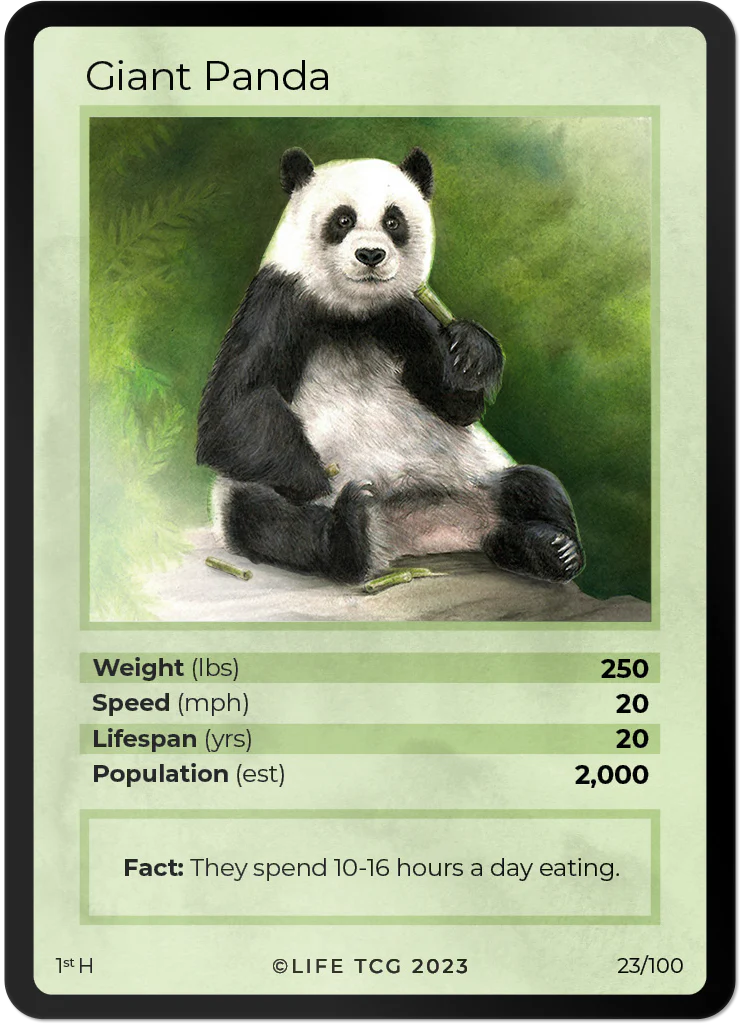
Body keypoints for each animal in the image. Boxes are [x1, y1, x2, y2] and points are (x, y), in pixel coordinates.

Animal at [196, 147, 584, 585]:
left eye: (393, 220)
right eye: (343, 220)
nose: (370, 255)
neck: (350, 312)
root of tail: (416, 534)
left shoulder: (402, 313)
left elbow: (452, 404)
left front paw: (471, 353)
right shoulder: (278, 301)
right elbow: (231, 410)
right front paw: (321, 480)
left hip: (477, 478)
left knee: (533, 485)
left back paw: (552, 550)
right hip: (244, 494)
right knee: (267, 518)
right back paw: (349, 528)